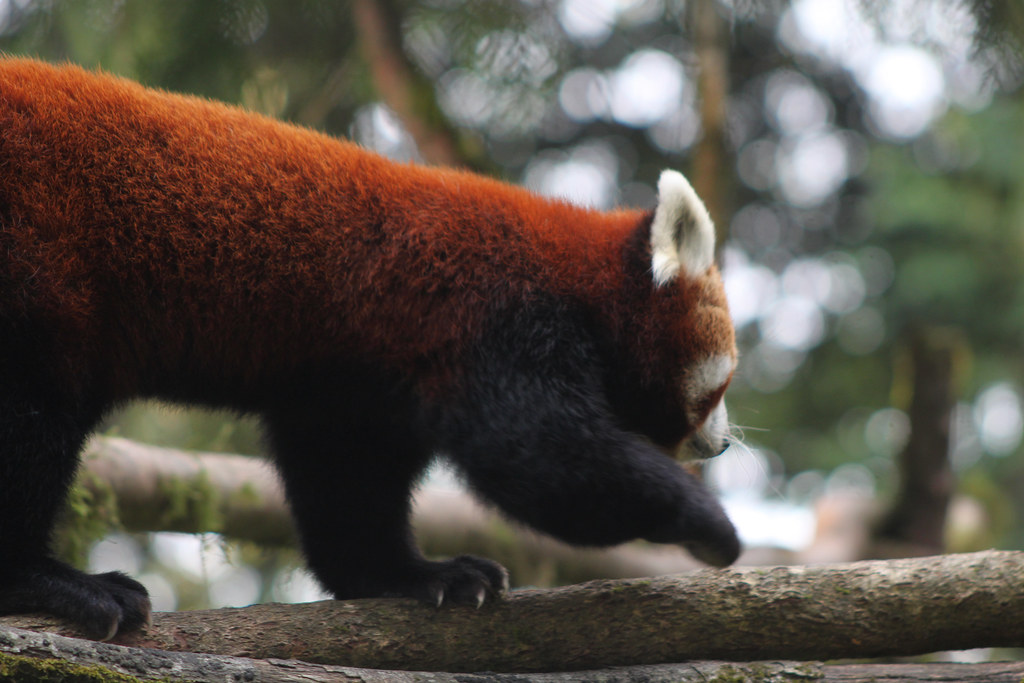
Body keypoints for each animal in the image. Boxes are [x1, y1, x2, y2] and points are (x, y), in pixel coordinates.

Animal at [0, 59, 739, 641]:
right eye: (722, 386)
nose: (728, 443)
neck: (577, 283)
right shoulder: (491, 319)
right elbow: (536, 456)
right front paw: (707, 523)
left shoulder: (356, 382)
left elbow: (346, 483)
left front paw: (413, 575)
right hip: (38, 270)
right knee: (32, 416)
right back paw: (53, 582)